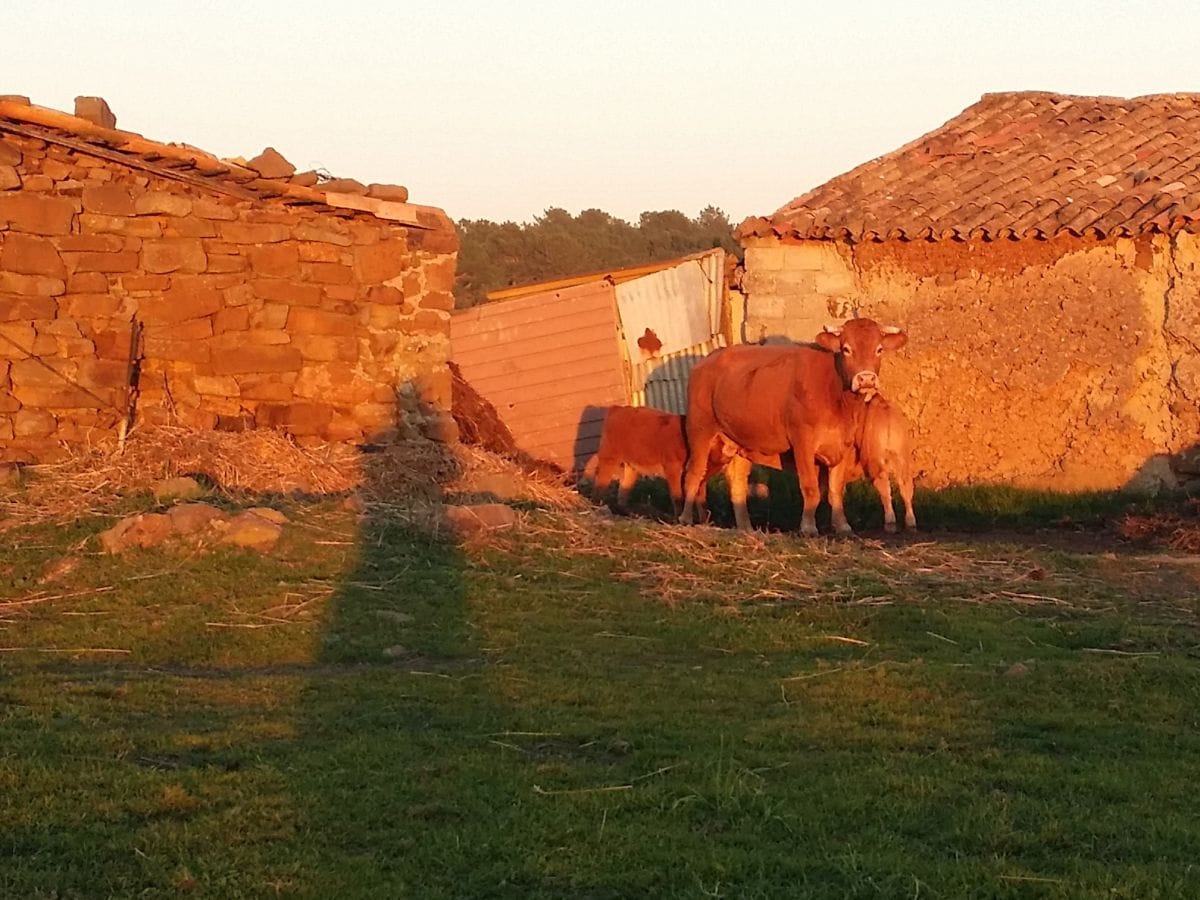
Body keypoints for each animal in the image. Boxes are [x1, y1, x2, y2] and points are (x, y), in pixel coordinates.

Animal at [580, 405, 729, 518]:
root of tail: (618, 408)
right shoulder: (672, 468)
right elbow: (677, 496)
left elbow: (700, 499)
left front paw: (703, 522)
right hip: (609, 458)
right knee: (600, 484)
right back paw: (599, 507)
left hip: (631, 466)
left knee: (623, 490)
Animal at [681, 319, 902, 535]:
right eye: (846, 349)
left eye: (879, 349)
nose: (866, 379)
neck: (837, 396)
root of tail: (708, 361)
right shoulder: (802, 442)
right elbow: (811, 488)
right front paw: (808, 527)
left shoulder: (843, 446)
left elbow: (835, 490)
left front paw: (842, 526)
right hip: (699, 431)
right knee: (693, 474)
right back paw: (685, 519)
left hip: (738, 443)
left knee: (737, 485)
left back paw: (746, 528)